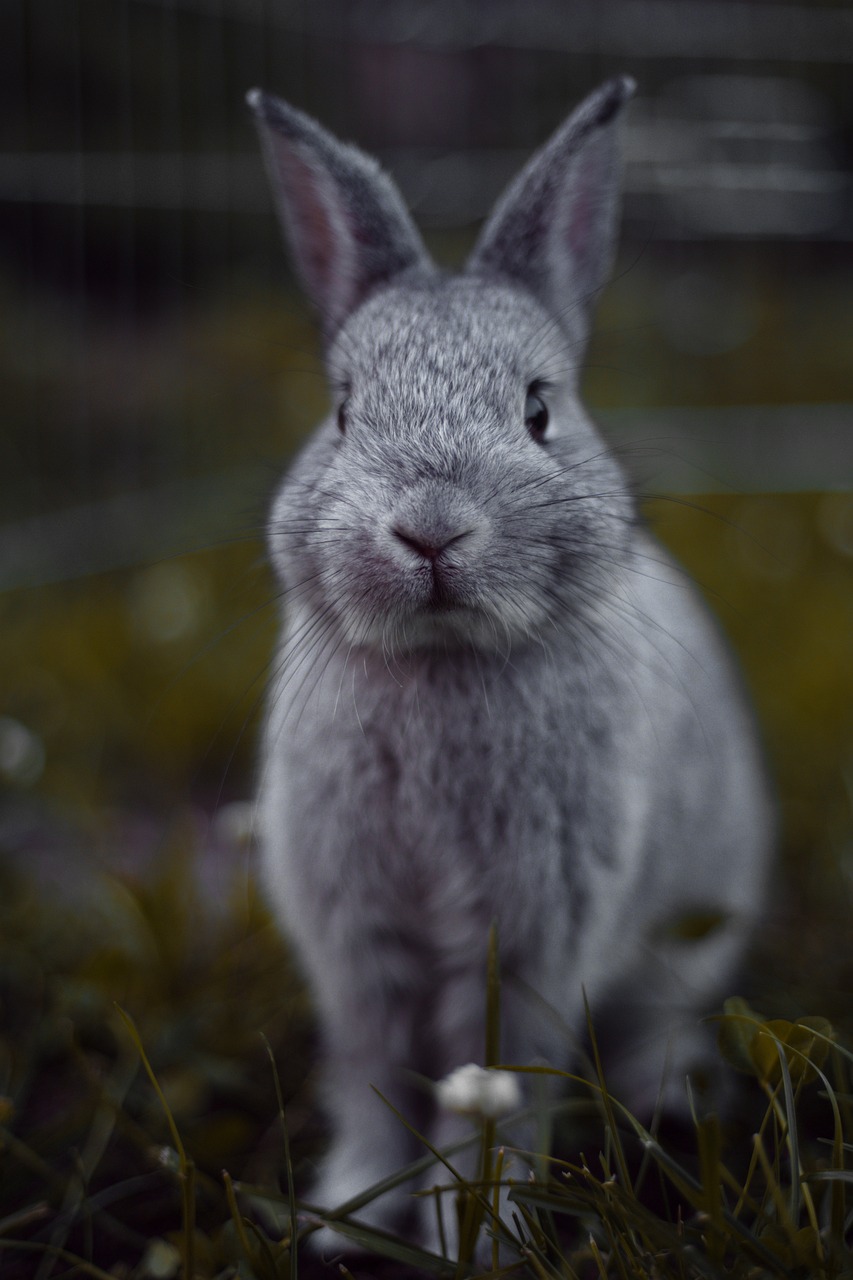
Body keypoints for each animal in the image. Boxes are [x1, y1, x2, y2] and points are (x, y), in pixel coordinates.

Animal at [244, 74, 768, 1264]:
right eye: (342, 410)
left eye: (538, 409)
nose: (430, 529)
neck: (443, 659)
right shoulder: (356, 940)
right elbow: (374, 1074)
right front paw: (350, 1216)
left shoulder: (536, 937)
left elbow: (502, 1089)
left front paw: (474, 1236)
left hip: (687, 937)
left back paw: (669, 1094)